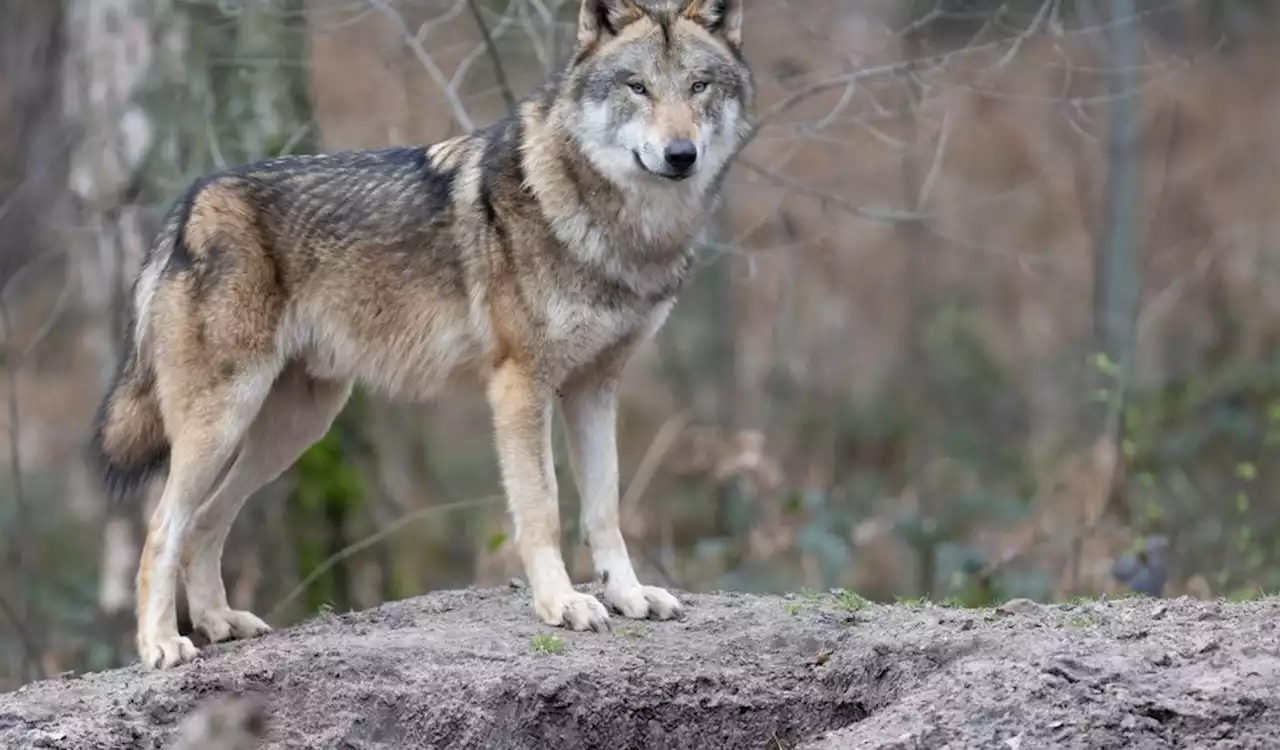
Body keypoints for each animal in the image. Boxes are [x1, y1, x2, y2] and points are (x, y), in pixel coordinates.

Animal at [90, 0, 752, 665]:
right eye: (637, 87)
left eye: (698, 86)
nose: (681, 154)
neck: (619, 230)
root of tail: (189, 204)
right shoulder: (521, 385)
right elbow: (543, 508)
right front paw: (562, 604)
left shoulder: (595, 388)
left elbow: (604, 509)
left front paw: (629, 595)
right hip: (224, 422)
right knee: (162, 529)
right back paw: (162, 645)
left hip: (293, 429)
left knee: (205, 523)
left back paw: (220, 621)